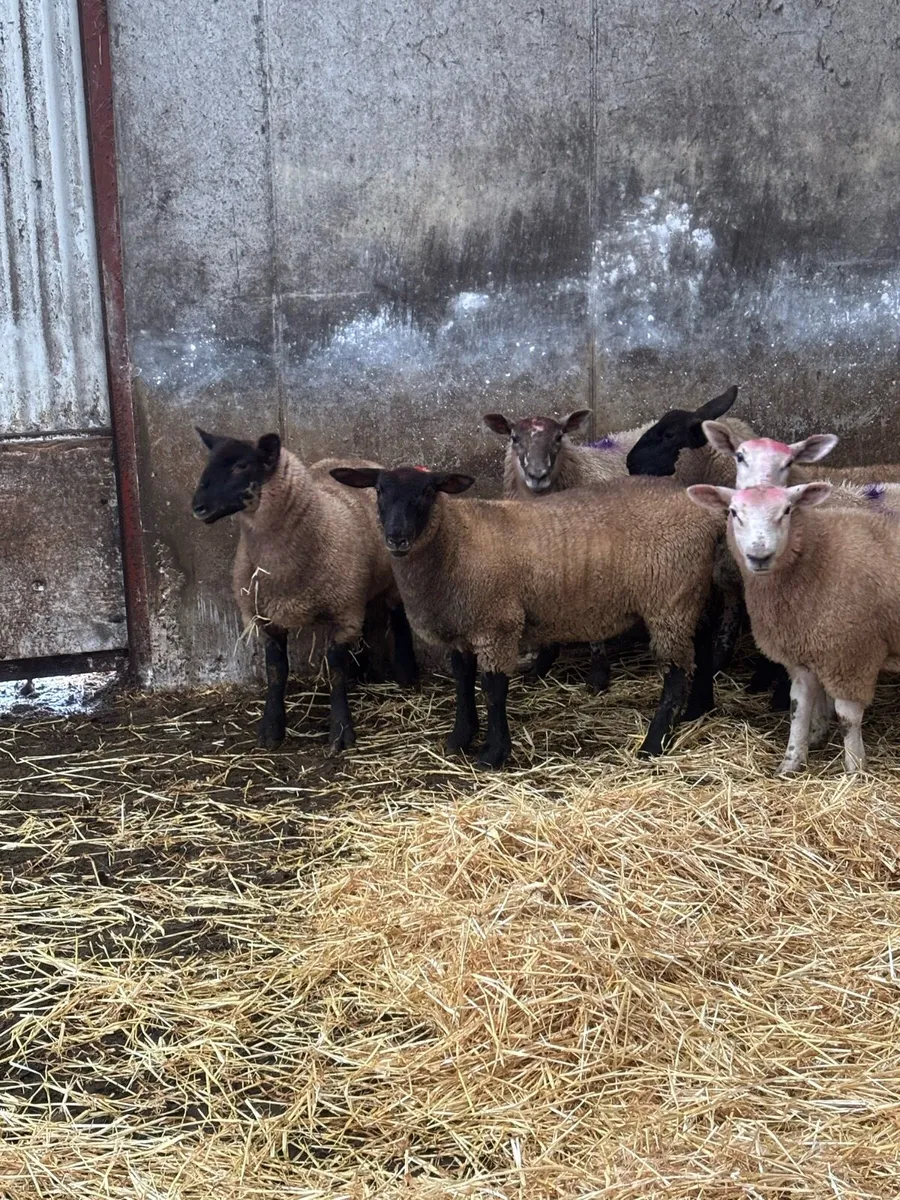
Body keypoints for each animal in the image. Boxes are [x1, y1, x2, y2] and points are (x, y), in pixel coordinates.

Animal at [191, 429, 418, 751]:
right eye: (209, 462)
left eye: (241, 466)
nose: (198, 507)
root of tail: (351, 459)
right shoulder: (268, 618)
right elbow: (276, 671)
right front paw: (271, 730)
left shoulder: (341, 612)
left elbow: (335, 670)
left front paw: (341, 732)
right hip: (357, 590)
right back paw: (361, 674)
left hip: (387, 580)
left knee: (398, 618)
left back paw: (406, 674)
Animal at [330, 466, 724, 768]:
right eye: (379, 490)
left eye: (427, 491)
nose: (396, 538)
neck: (456, 540)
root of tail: (711, 514)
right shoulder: (461, 627)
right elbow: (462, 681)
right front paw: (460, 738)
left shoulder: (496, 623)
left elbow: (493, 689)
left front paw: (492, 754)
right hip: (693, 592)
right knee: (704, 643)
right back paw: (697, 709)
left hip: (669, 599)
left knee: (675, 672)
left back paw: (653, 743)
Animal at [687, 481, 900, 776]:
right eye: (733, 512)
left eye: (787, 510)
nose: (759, 556)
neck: (818, 557)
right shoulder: (803, 654)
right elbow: (798, 708)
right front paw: (791, 763)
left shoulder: (852, 656)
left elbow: (847, 717)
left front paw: (855, 769)